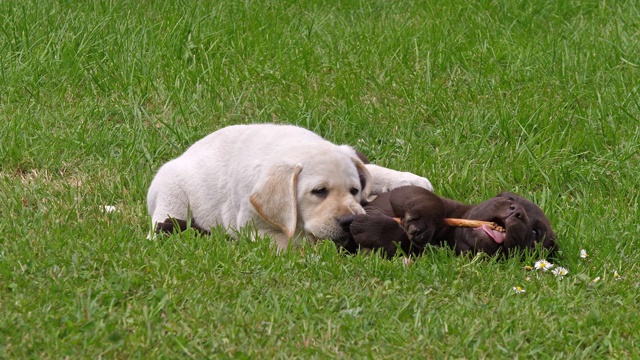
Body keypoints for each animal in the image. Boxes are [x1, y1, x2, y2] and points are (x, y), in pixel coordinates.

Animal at [148, 124, 432, 250]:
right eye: (319, 192)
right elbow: (292, 239)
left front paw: (411, 180)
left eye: (354, 191)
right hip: (172, 193)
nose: (350, 221)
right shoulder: (251, 225)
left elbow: (372, 172)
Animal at [348, 186, 556, 258]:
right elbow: (431, 200)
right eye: (511, 199)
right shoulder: (406, 192)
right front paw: (423, 221)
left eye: (536, 232)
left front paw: (373, 229)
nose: (517, 212)